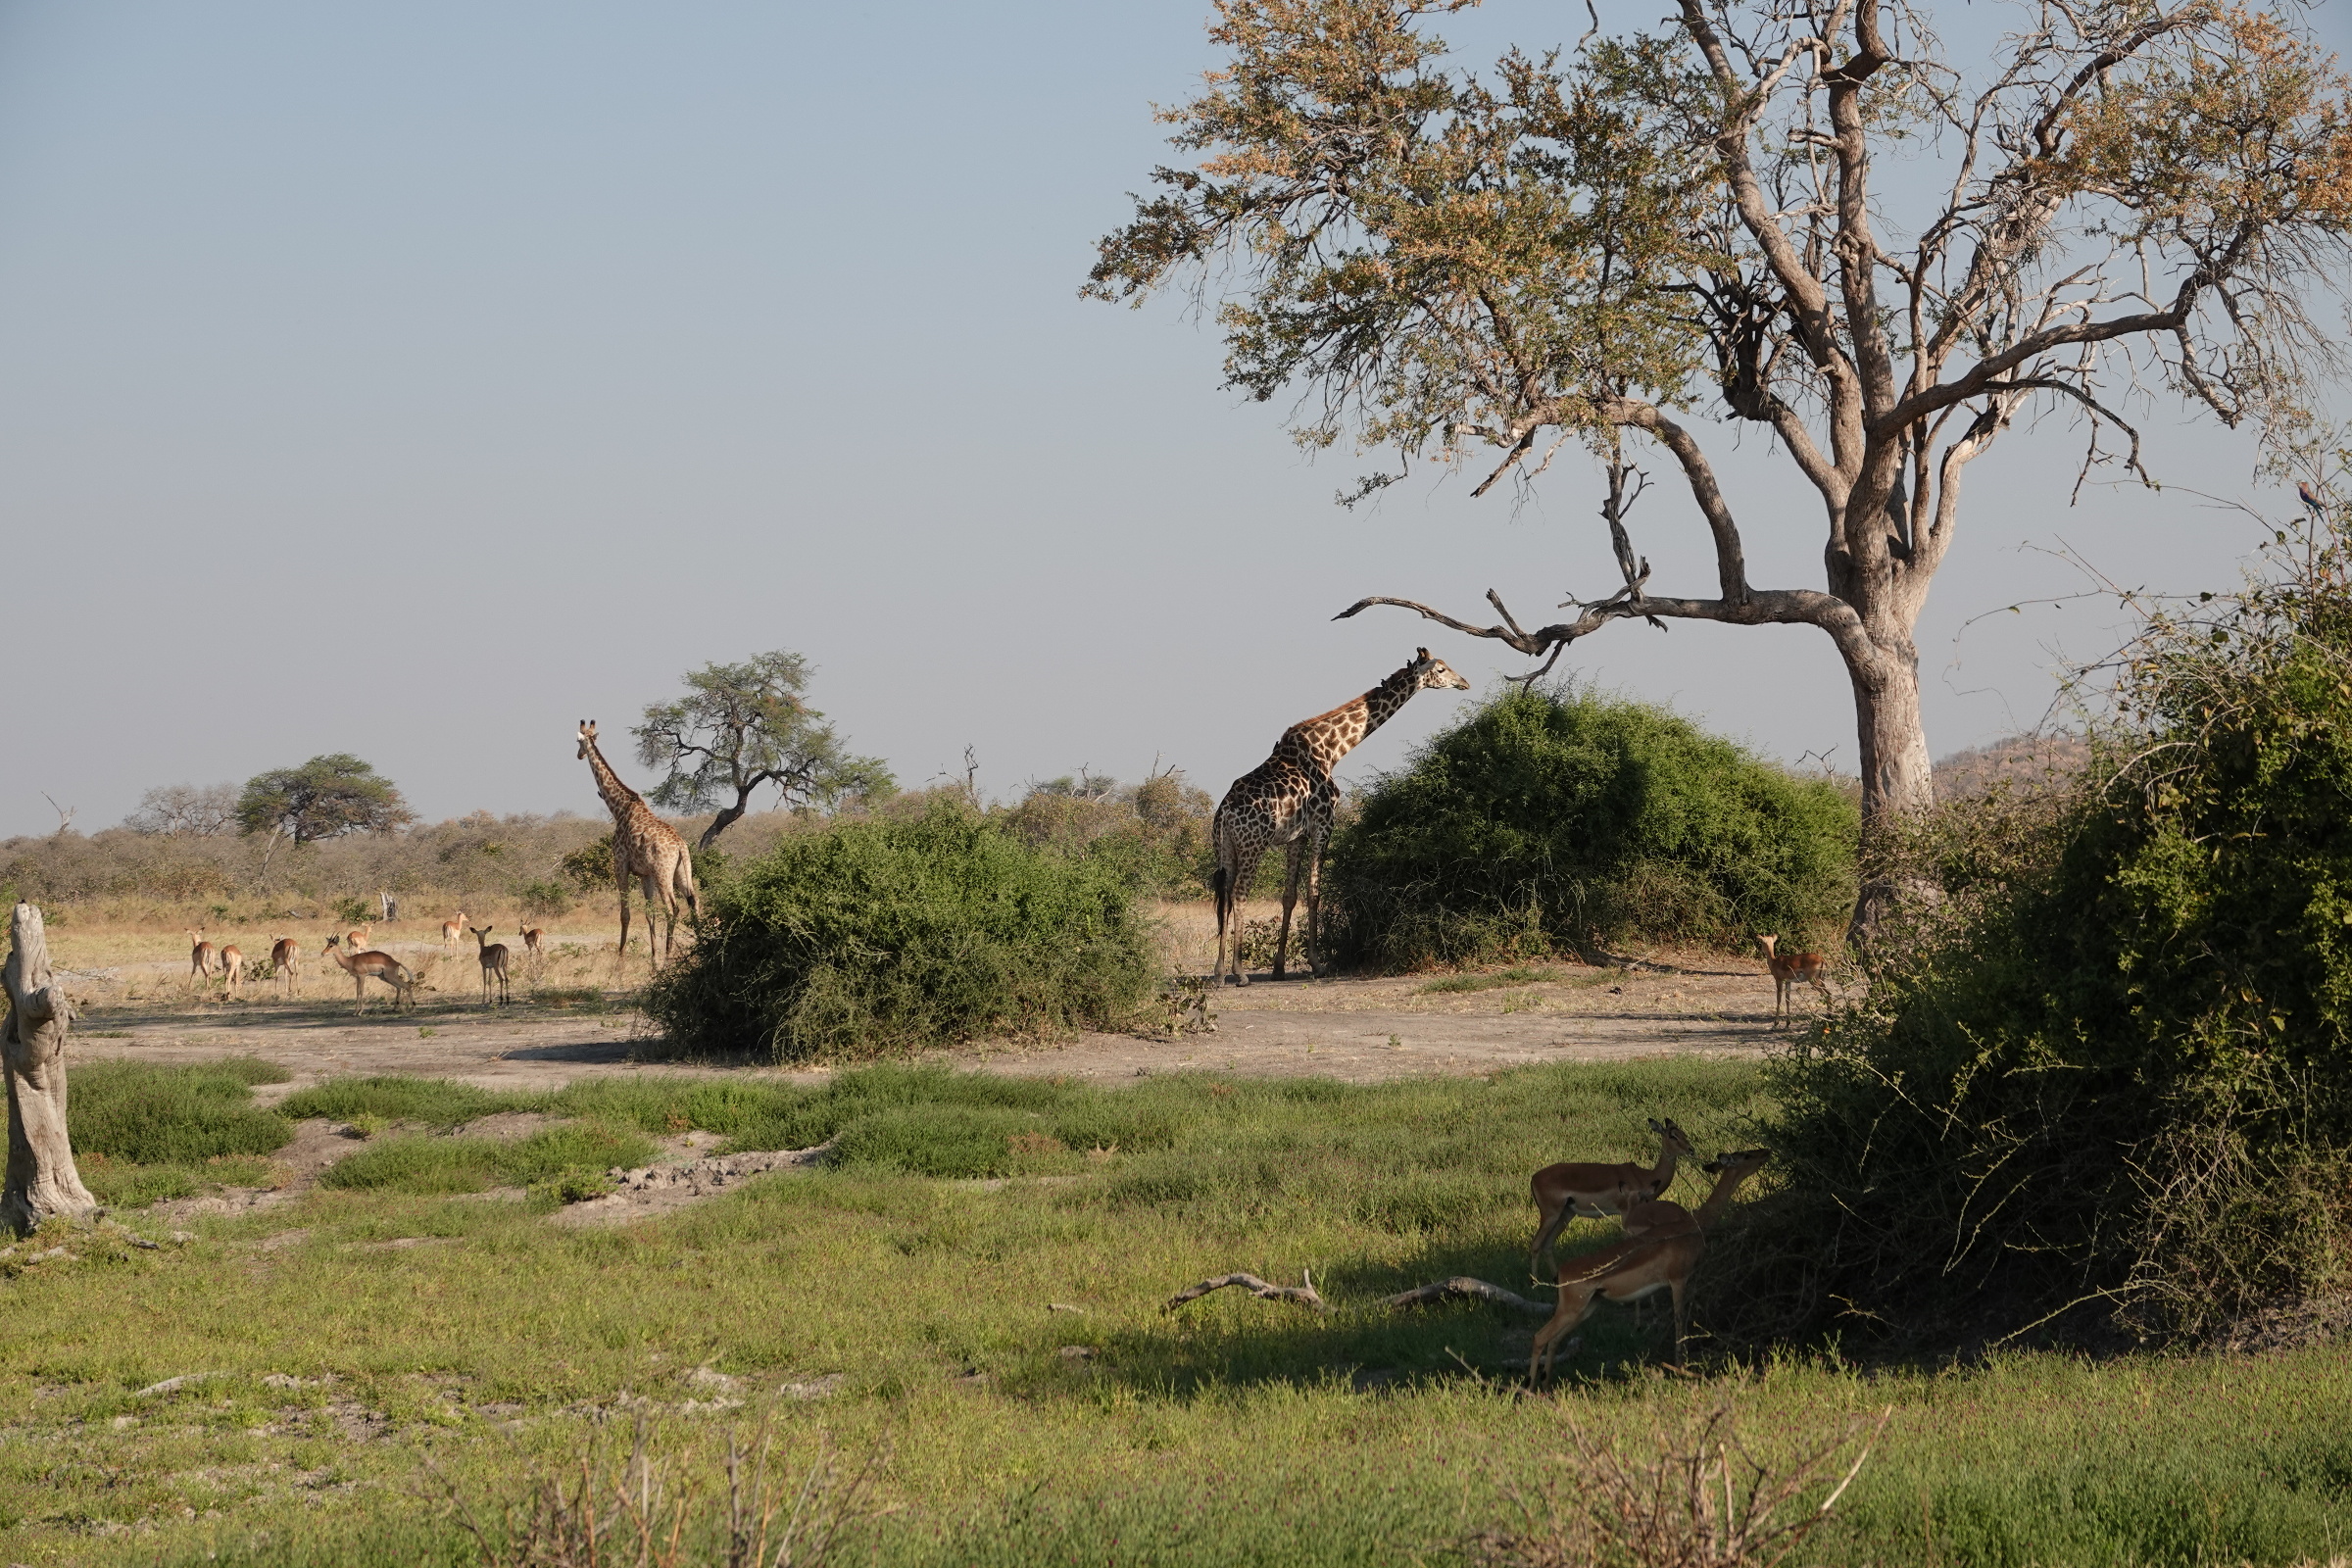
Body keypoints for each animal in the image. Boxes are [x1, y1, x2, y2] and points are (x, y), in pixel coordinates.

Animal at [576, 720, 700, 971]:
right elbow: (649, 914)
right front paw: (652, 959)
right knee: (694, 901)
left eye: (578, 741)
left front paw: (620, 959)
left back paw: (669, 957)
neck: (619, 808)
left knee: (672, 908)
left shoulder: (620, 865)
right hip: (682, 871)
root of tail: (680, 845)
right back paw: (705, 946)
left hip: (664, 873)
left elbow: (626, 914)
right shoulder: (645, 874)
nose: (579, 755)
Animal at [1210, 648, 1470, 985]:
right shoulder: (1324, 823)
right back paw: (1239, 973)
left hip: (1226, 848)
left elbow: (1289, 895)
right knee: (1240, 894)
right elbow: (1315, 893)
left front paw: (1279, 968)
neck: (1331, 750)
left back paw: (1218, 972)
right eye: (1440, 669)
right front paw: (1317, 964)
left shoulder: (1297, 835)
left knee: (1225, 897)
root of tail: (1224, 814)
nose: (1465, 682)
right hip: (1253, 845)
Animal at [1528, 1119, 1695, 1282]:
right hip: (1551, 1215)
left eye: (1683, 1133)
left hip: (1566, 1214)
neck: (1644, 1176)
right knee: (1536, 1244)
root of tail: (1533, 1178)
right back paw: (1534, 1282)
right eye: (1672, 1136)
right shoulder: (1626, 1212)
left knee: (1547, 1244)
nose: (1691, 1150)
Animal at [1528, 1148, 1773, 1379]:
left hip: (1585, 1308)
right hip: (1572, 1308)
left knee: (1553, 1340)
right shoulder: (1678, 1281)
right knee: (1539, 1336)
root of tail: (1562, 1273)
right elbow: (1679, 1320)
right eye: (1746, 1155)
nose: (1766, 1152)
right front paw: (1681, 1365)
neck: (1692, 1225)